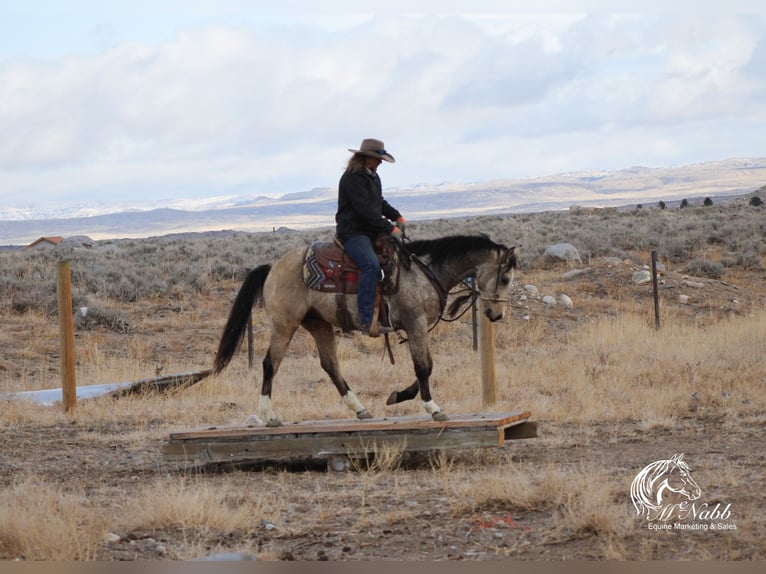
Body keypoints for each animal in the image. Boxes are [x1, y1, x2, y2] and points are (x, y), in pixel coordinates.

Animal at [213, 234, 520, 428]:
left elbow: (426, 366)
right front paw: (433, 408)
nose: (497, 314)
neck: (426, 272)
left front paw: (398, 395)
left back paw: (359, 408)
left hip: (319, 324)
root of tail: (273, 267)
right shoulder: (416, 324)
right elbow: (424, 367)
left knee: (330, 365)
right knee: (270, 363)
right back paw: (269, 415)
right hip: (284, 324)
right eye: (505, 278)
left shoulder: (416, 328)